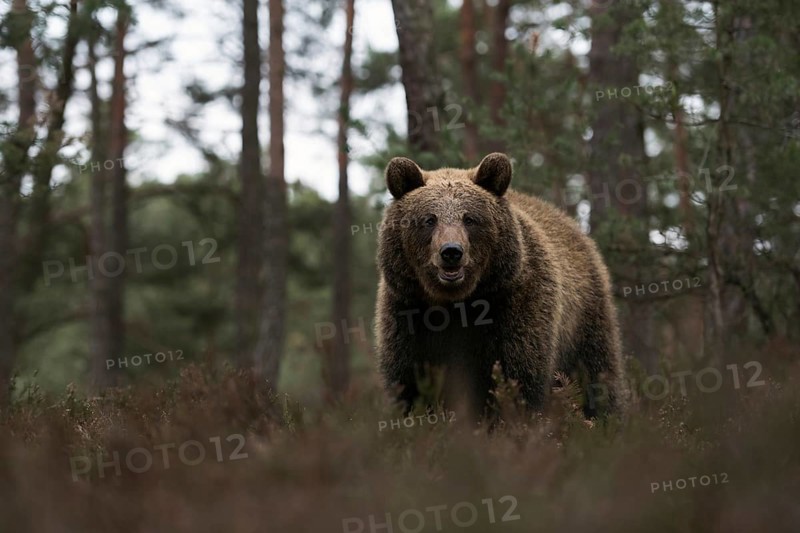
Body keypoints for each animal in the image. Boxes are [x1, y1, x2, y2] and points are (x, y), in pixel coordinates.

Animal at [374, 152, 626, 419]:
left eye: (470, 218)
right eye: (429, 219)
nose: (451, 252)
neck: (457, 304)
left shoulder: (515, 304)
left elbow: (519, 376)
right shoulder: (408, 314)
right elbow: (407, 384)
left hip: (584, 319)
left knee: (598, 373)